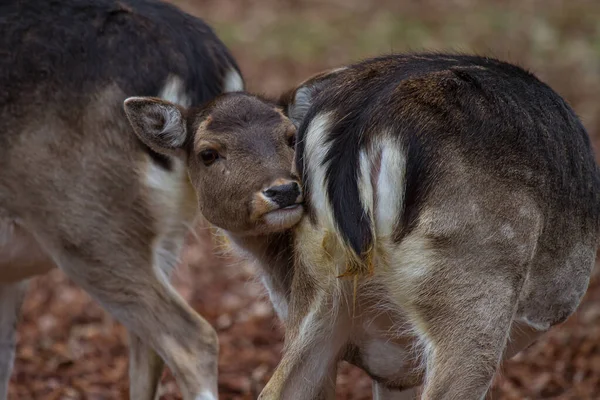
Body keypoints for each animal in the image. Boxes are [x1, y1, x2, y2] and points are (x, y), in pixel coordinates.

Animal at [123, 53, 600, 400]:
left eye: (290, 137)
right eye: (207, 153)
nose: (283, 191)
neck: (276, 272)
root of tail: (362, 124)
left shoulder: (389, 364)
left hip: (320, 282)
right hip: (475, 281)